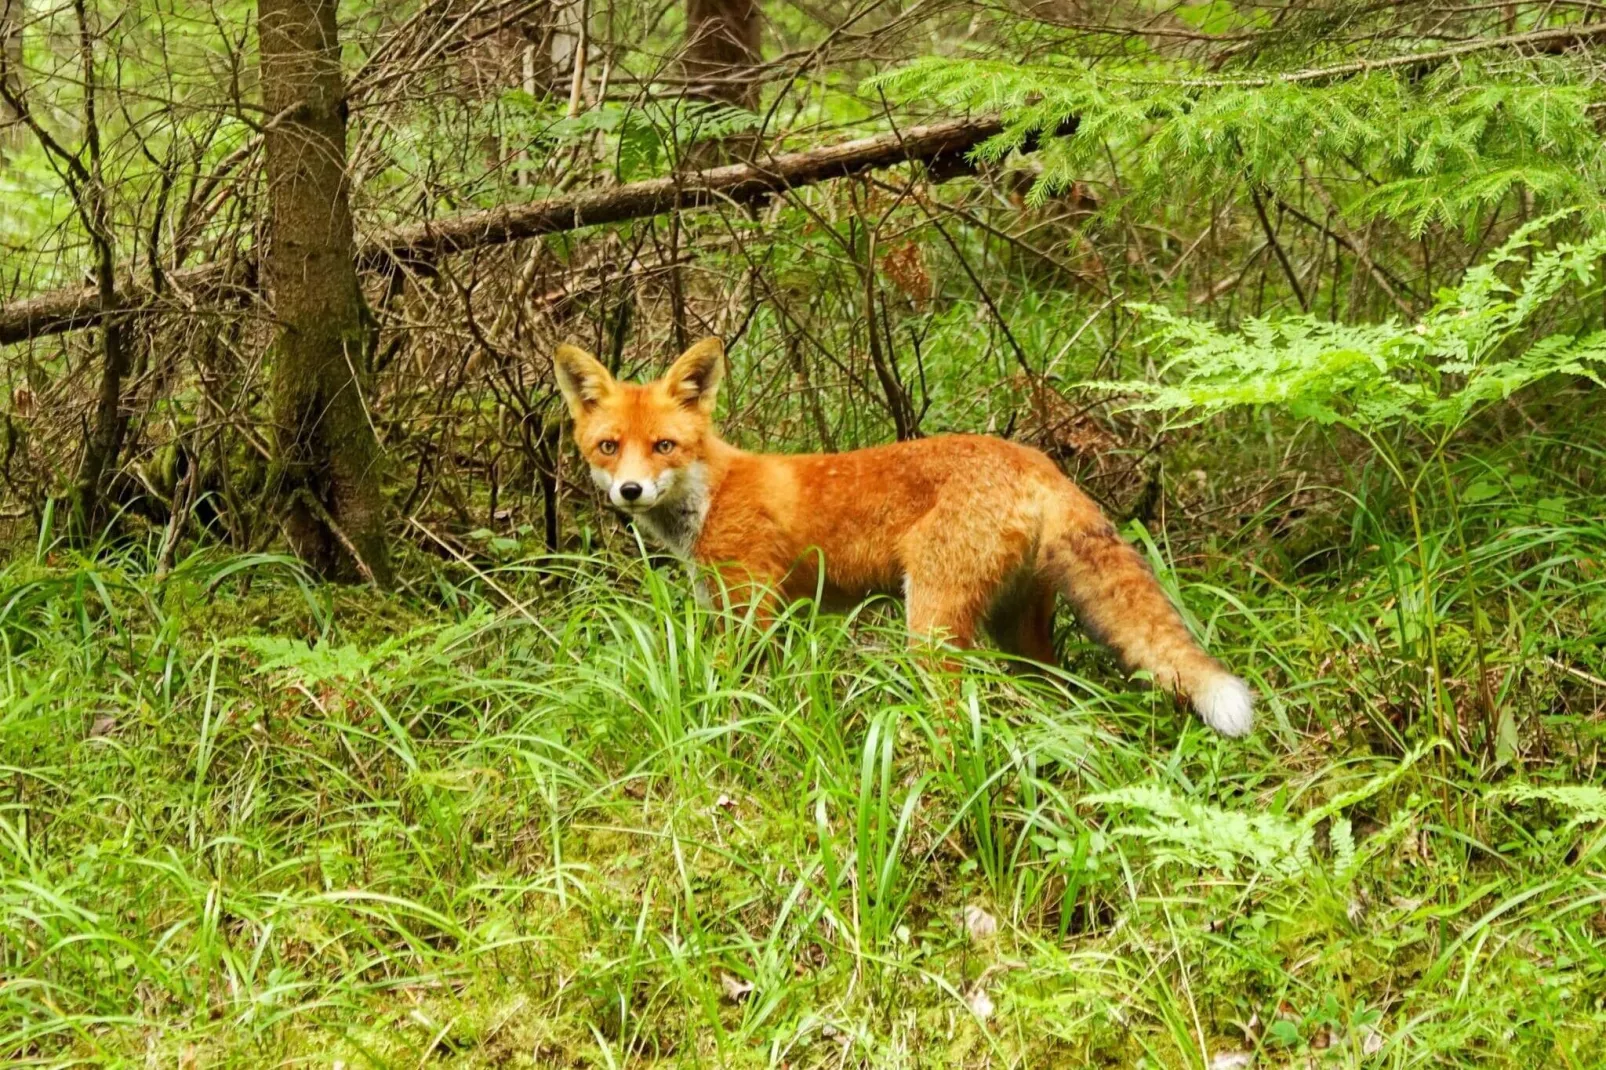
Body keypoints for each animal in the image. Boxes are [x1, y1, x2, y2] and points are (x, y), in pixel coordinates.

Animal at [552, 335, 1252, 732]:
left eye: (663, 446)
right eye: (609, 447)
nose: (630, 491)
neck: (713, 495)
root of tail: (1038, 462)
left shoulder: (756, 607)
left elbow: (738, 690)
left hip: (932, 622)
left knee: (957, 703)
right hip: (1019, 633)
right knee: (1059, 693)